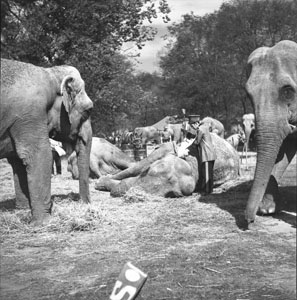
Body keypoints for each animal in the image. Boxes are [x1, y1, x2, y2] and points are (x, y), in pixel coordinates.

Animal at [0, 58, 92, 224]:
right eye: (89, 110)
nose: (85, 204)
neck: (50, 74)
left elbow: (18, 160)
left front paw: (23, 212)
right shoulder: (30, 114)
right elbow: (40, 155)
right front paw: (44, 222)